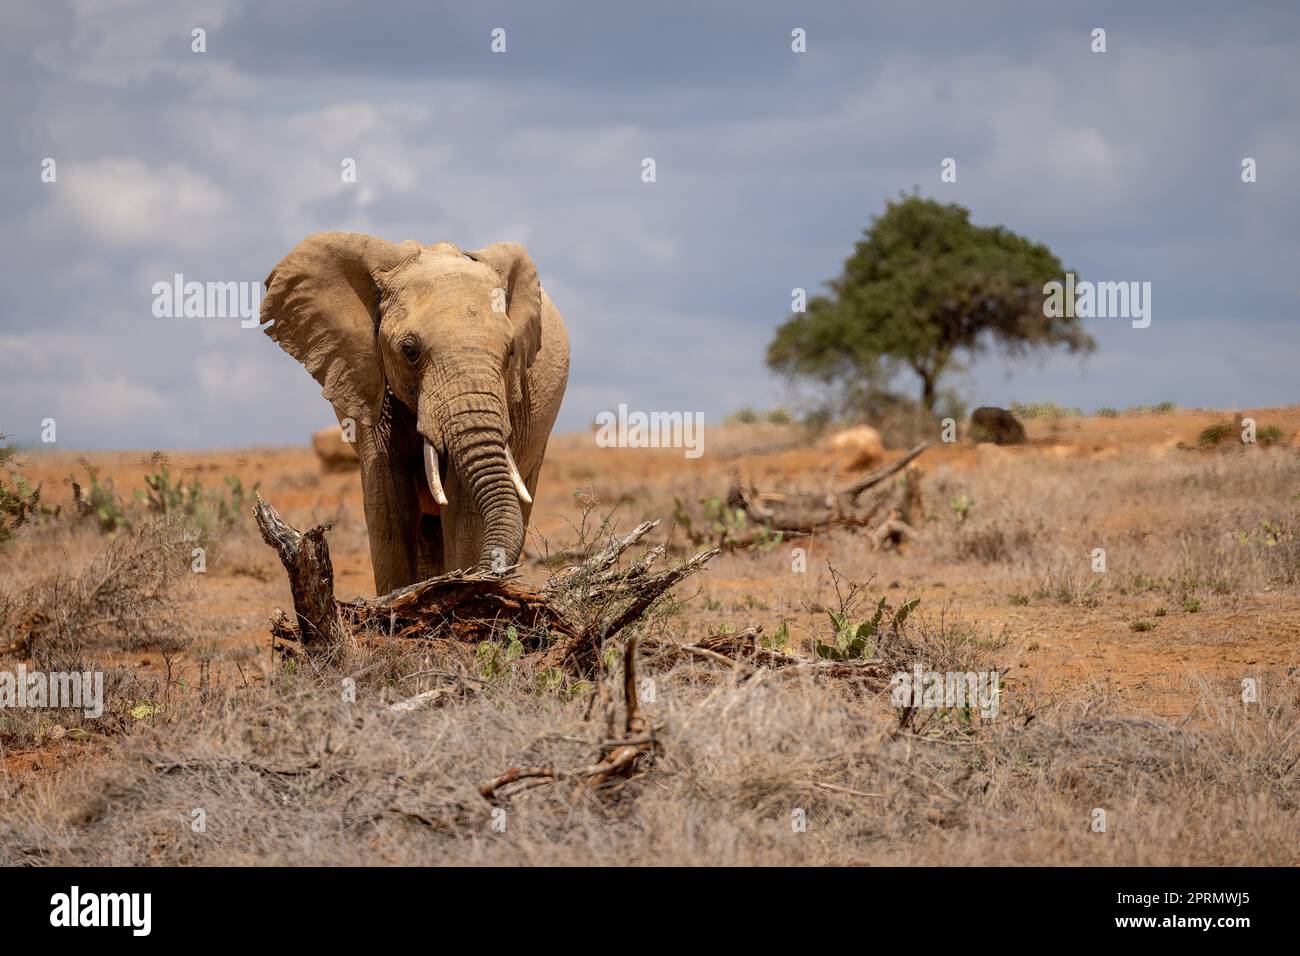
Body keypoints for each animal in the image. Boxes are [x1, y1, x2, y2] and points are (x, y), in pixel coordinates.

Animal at [260, 232, 569, 594]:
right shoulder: (370, 382)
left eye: (510, 352)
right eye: (409, 351)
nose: (483, 575)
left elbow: (462, 509)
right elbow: (389, 504)